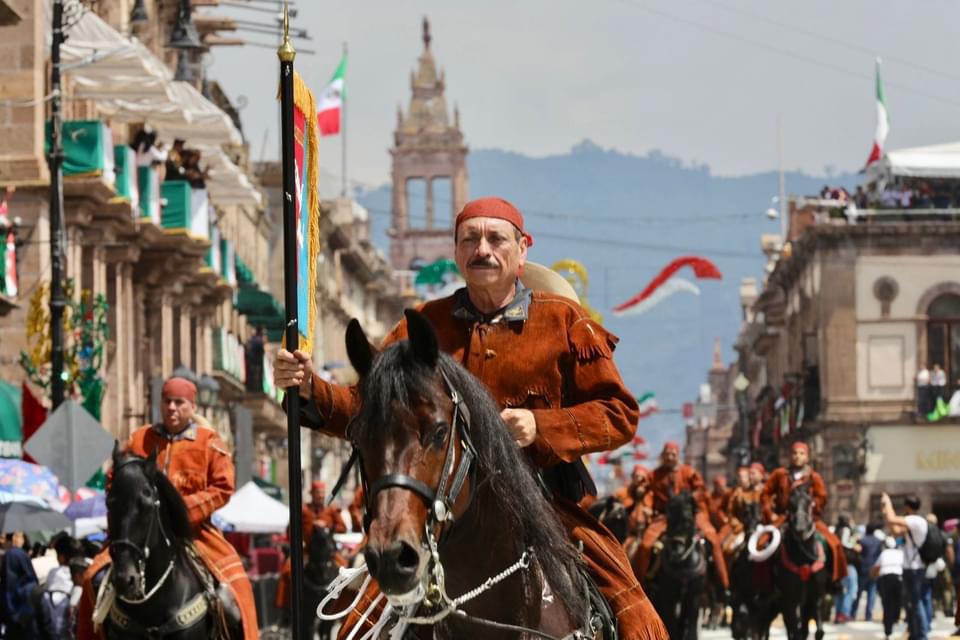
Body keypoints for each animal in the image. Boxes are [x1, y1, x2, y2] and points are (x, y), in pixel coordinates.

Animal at [644, 490, 704, 640]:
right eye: (668, 518)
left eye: (688, 520)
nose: (675, 551)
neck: (684, 566)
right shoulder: (668, 596)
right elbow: (671, 622)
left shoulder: (694, 596)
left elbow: (691, 623)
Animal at [768, 484, 828, 640]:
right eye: (790, 504)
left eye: (810, 503)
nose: (800, 529)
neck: (804, 560)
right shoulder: (790, 600)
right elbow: (795, 631)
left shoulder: (815, 597)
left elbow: (819, 631)